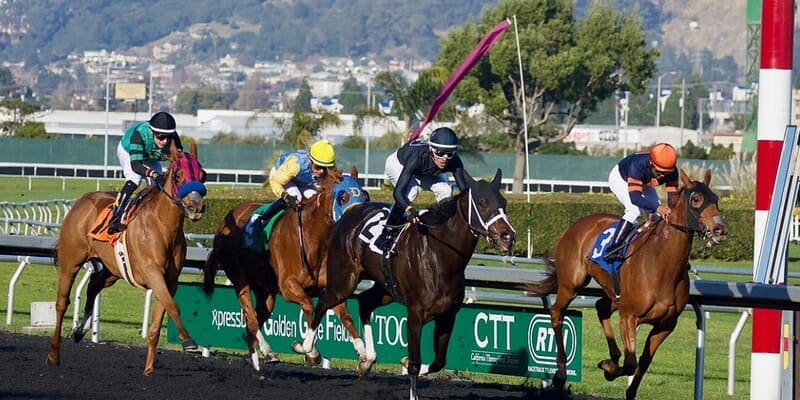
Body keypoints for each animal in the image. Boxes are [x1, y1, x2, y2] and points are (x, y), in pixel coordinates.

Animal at [47, 141, 207, 377]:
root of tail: (82, 200)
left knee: (93, 286)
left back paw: (80, 330)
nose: (195, 208)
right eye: (178, 175)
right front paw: (188, 342)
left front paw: (148, 369)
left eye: (203, 175)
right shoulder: (152, 273)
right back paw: (53, 355)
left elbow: (158, 321)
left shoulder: (170, 280)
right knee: (61, 303)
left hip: (112, 270)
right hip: (71, 262)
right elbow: (173, 306)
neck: (163, 226)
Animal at [203, 165, 369, 372]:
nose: (358, 221)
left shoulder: (330, 288)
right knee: (250, 315)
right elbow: (308, 306)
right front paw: (310, 351)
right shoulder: (288, 285)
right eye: (343, 197)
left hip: (265, 292)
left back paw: (266, 352)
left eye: (365, 195)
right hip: (239, 278)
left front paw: (363, 355)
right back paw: (261, 353)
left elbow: (346, 316)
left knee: (255, 318)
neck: (313, 240)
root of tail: (225, 220)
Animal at [295, 169, 516, 400]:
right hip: (343, 281)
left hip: (386, 289)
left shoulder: (448, 315)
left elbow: (439, 361)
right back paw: (307, 348)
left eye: (503, 201)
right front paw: (411, 384)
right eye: (482, 202)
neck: (440, 255)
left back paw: (366, 361)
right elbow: (415, 364)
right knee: (324, 302)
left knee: (364, 302)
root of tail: (350, 212)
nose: (507, 235)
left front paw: (404, 361)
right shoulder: (415, 315)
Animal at [525, 169, 728, 400]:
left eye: (716, 199)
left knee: (601, 307)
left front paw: (625, 384)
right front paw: (608, 368)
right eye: (696, 199)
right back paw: (561, 373)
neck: (661, 263)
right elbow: (631, 363)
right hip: (571, 284)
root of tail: (575, 225)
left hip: (614, 293)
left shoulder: (666, 324)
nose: (720, 229)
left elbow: (644, 361)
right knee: (557, 313)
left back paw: (612, 356)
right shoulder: (629, 316)